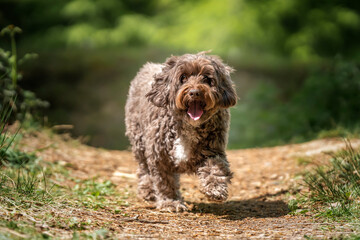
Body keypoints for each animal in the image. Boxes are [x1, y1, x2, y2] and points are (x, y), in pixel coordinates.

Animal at [125, 51, 238, 211]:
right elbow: (165, 182)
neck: (188, 125)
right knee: (144, 169)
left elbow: (216, 167)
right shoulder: (159, 156)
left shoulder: (212, 149)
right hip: (139, 141)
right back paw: (147, 191)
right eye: (183, 77)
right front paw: (170, 202)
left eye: (206, 78)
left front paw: (215, 188)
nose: (195, 92)